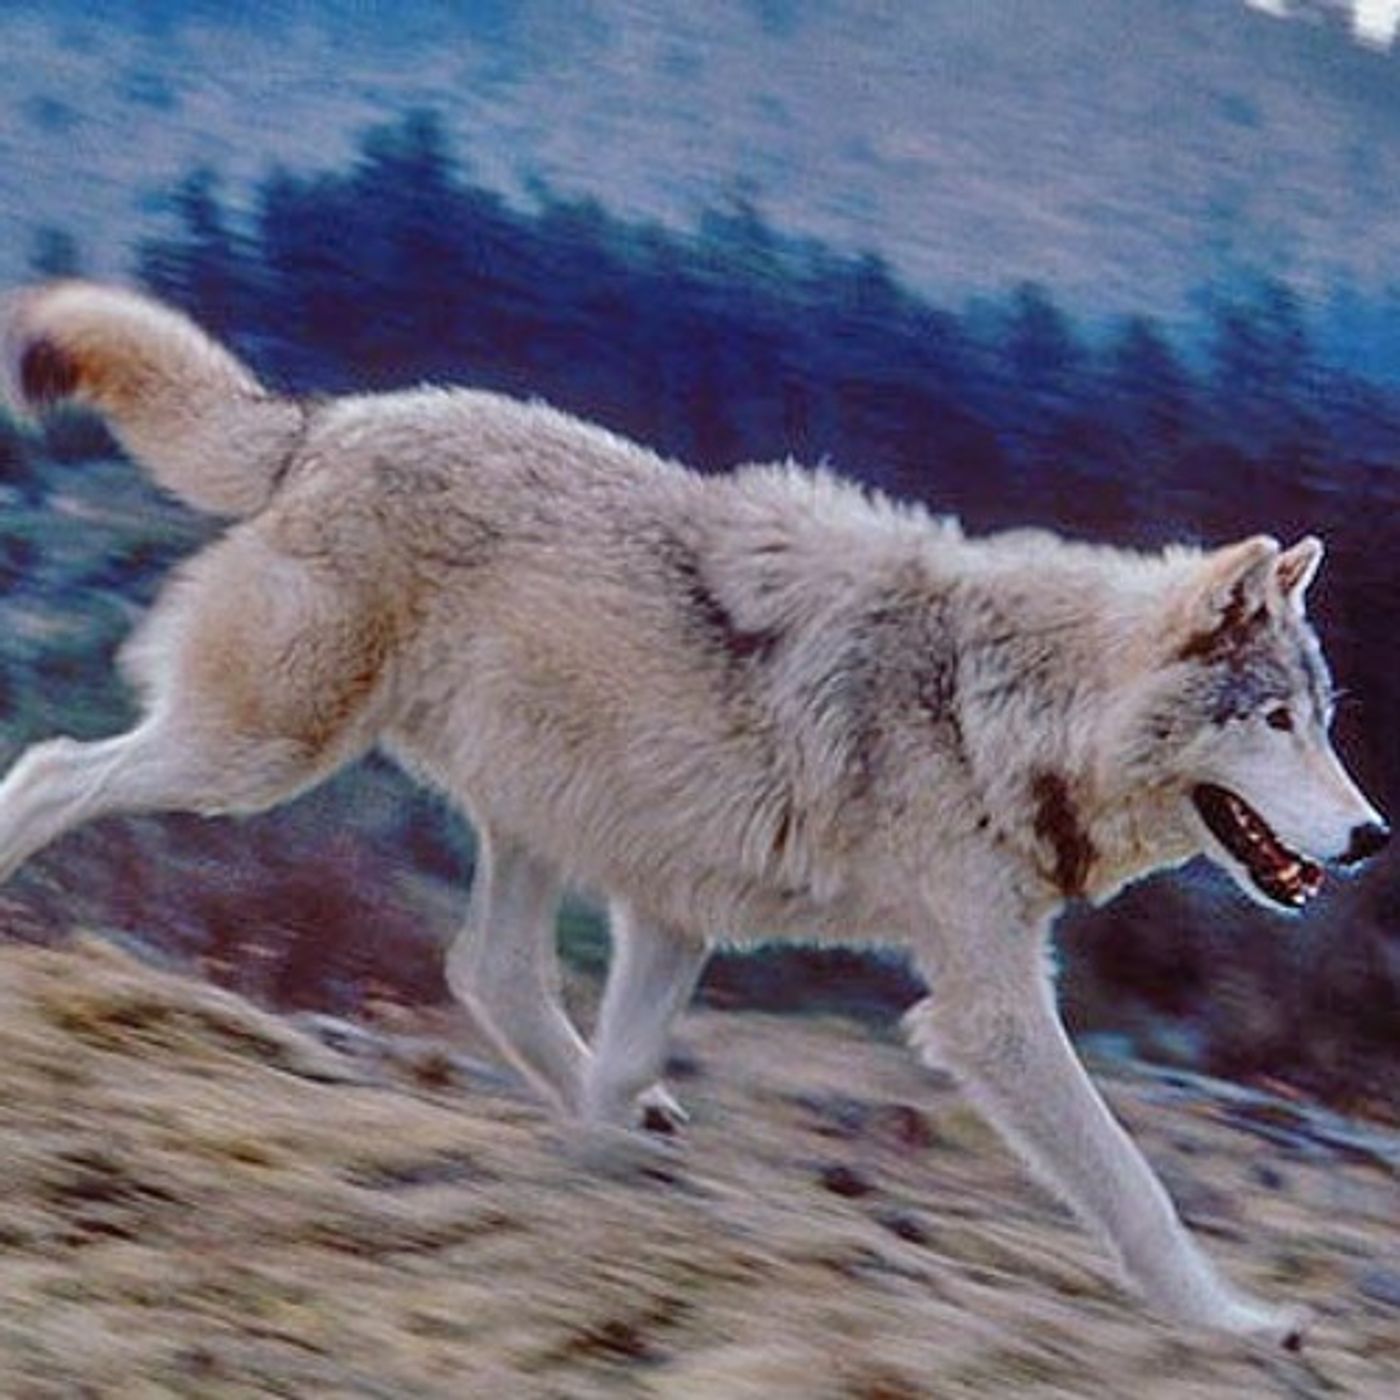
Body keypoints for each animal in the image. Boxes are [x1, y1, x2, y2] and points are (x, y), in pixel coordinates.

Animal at [0, 282, 1388, 1346]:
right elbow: (1131, 1181)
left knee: (488, 968)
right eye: (1274, 720)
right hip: (261, 755)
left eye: (1323, 717)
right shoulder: (986, 1006)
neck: (984, 700)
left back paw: (638, 1119)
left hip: (550, 823)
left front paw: (599, 1185)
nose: (1372, 835)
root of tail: (325, 422)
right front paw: (1234, 1322)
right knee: (54, 767)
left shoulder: (677, 911)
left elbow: (614, 1067)